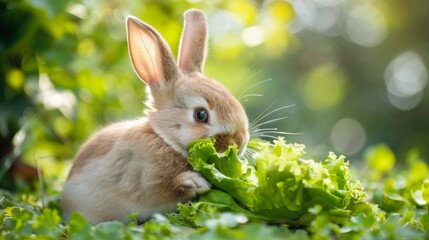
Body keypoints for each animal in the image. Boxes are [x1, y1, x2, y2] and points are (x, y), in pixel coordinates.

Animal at [59, 8, 247, 223]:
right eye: (201, 115)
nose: (240, 142)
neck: (163, 138)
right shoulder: (142, 180)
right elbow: (162, 189)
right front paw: (195, 182)